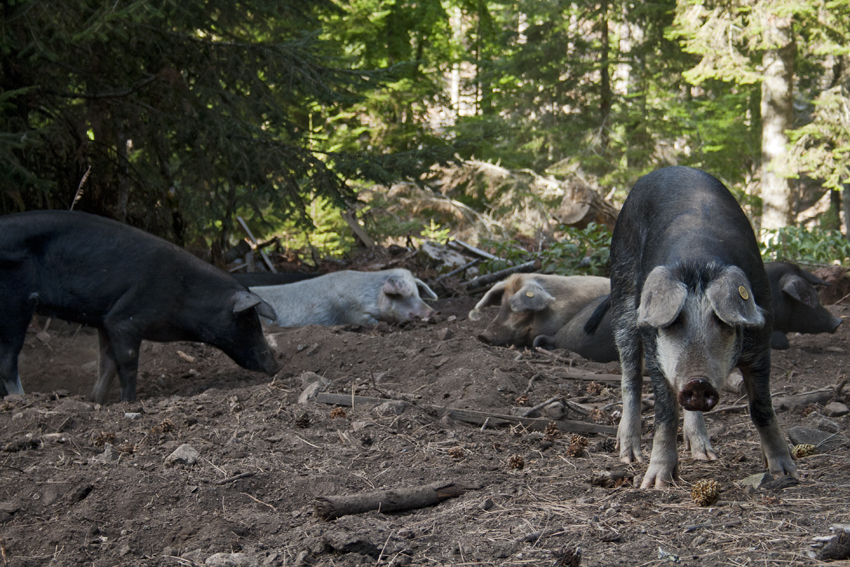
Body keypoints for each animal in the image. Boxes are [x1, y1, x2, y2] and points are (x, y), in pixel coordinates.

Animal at [0, 212, 280, 404]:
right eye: (248, 321)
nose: (277, 366)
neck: (184, 293)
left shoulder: (105, 321)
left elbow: (107, 364)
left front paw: (97, 401)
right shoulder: (125, 320)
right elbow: (127, 363)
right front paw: (129, 402)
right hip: (15, 304)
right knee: (8, 361)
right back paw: (20, 399)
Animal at [604, 166, 796, 490]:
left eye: (720, 320)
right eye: (674, 321)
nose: (697, 382)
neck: (698, 262)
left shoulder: (761, 341)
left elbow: (762, 408)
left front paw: (786, 473)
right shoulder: (656, 353)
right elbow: (665, 414)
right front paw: (654, 484)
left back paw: (704, 454)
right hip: (622, 288)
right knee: (630, 374)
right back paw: (629, 455)